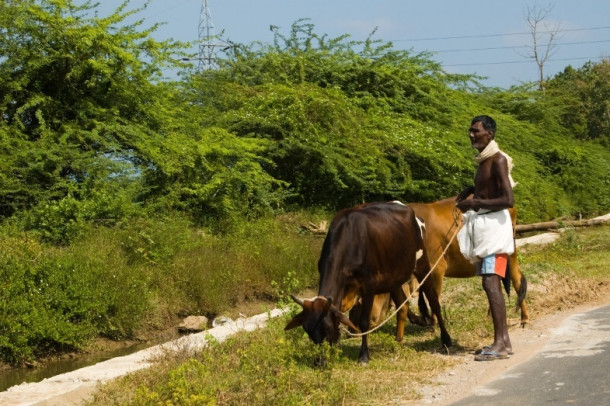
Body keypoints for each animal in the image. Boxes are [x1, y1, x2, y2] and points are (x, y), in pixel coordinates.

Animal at [284, 201, 452, 364]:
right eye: (308, 330)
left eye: (328, 328)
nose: (319, 361)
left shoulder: (369, 285)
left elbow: (364, 322)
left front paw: (364, 356)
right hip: (394, 279)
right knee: (403, 306)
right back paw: (398, 341)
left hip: (422, 265)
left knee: (434, 301)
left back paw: (446, 340)